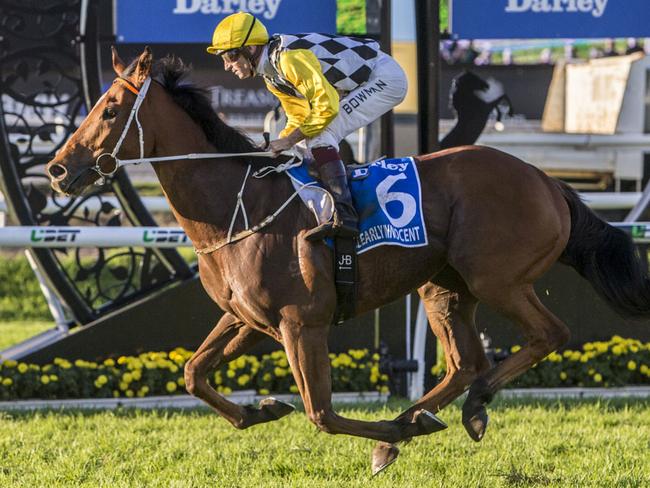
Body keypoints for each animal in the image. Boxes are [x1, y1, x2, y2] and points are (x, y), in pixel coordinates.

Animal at [46, 49, 648, 472]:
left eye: (111, 109)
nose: (57, 169)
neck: (237, 207)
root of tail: (547, 182)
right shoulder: (247, 318)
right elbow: (194, 373)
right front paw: (260, 410)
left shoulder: (301, 323)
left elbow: (322, 414)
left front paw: (387, 439)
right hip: (444, 287)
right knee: (466, 362)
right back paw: (436, 410)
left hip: (497, 279)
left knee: (548, 335)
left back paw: (461, 408)